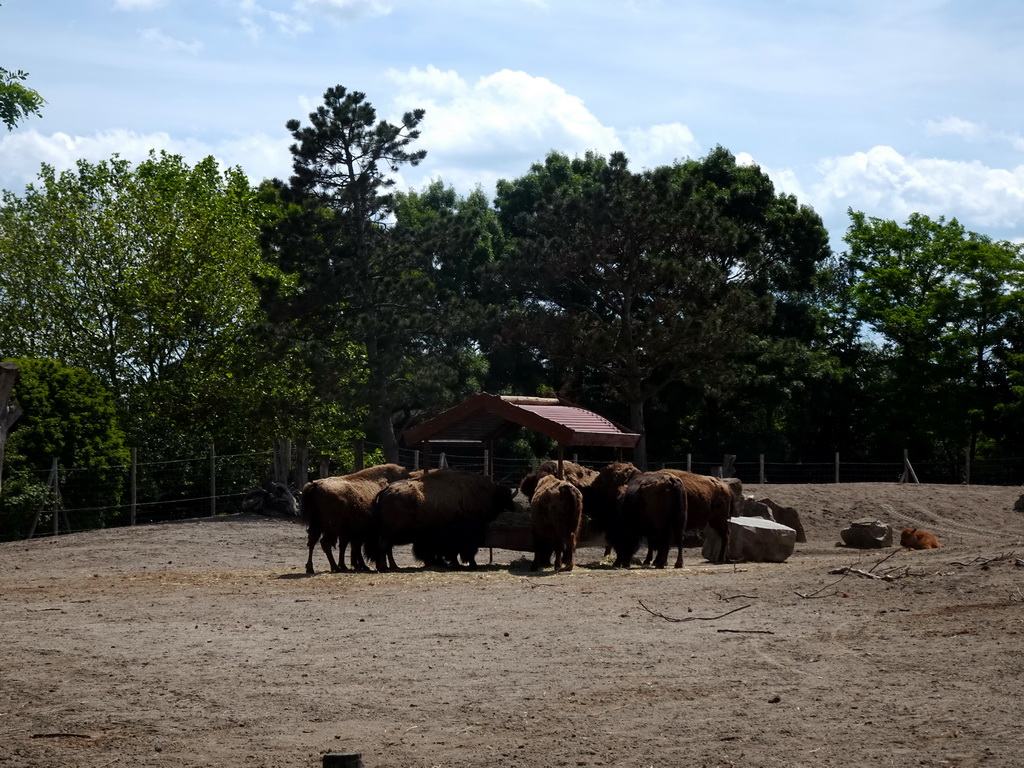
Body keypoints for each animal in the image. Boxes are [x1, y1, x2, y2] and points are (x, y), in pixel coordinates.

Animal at [366, 468, 512, 573]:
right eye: (505, 498)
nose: (513, 507)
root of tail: (385, 490)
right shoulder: (467, 534)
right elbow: (465, 550)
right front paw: (470, 564)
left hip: (391, 532)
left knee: (387, 546)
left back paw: (393, 566)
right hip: (391, 531)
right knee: (384, 544)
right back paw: (385, 567)